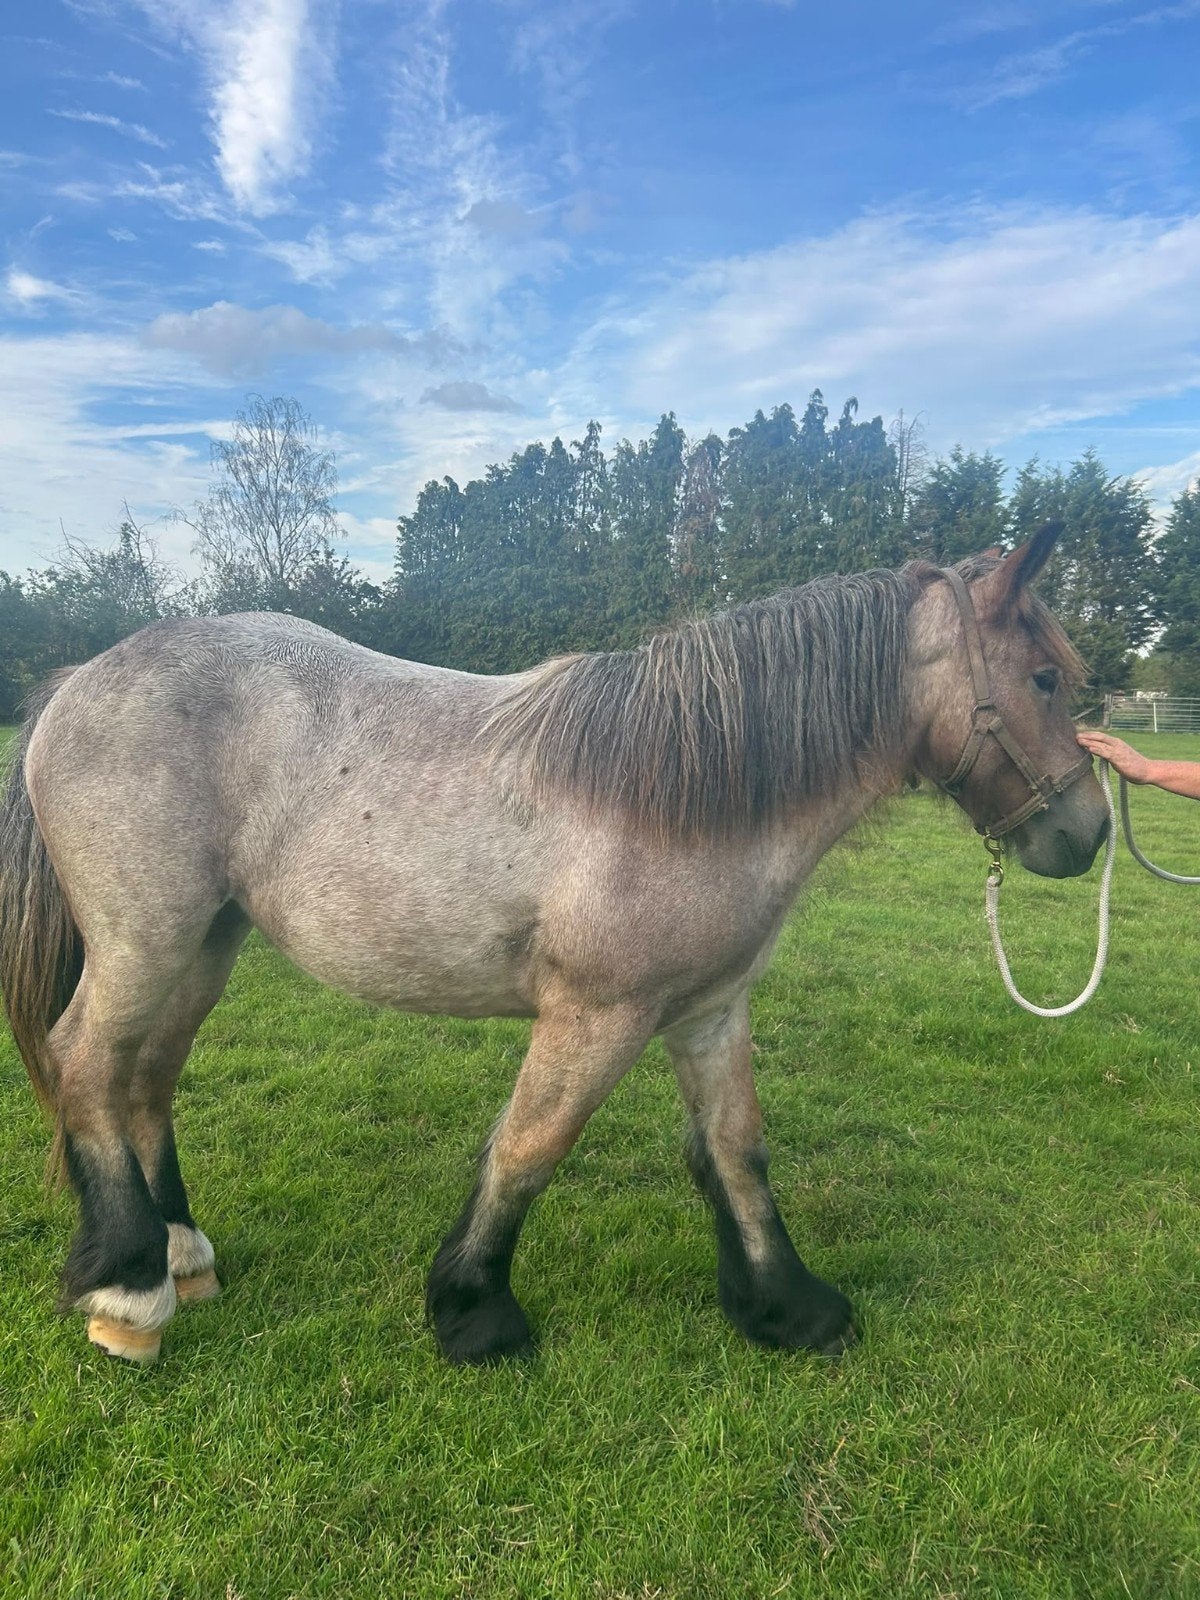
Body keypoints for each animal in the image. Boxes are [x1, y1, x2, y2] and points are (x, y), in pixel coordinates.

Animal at [0, 521, 1108, 1367]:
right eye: (1044, 678)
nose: (1089, 832)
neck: (682, 794)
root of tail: (77, 682)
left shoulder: (709, 1009)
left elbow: (736, 1151)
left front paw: (786, 1306)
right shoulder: (598, 1014)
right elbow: (531, 1147)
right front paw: (474, 1310)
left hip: (206, 945)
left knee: (146, 1075)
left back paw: (181, 1254)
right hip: (145, 941)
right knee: (88, 1064)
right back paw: (131, 1294)